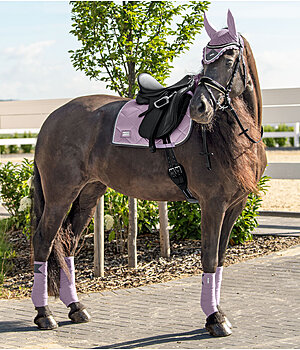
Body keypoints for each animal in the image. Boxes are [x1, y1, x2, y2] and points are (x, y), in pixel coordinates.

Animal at [31, 10, 264, 338]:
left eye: (229, 58)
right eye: (205, 58)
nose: (199, 108)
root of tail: (51, 119)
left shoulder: (235, 204)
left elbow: (219, 259)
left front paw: (217, 315)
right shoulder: (213, 203)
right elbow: (208, 257)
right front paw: (215, 318)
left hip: (89, 193)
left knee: (68, 244)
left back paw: (76, 308)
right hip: (59, 195)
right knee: (43, 241)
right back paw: (44, 314)